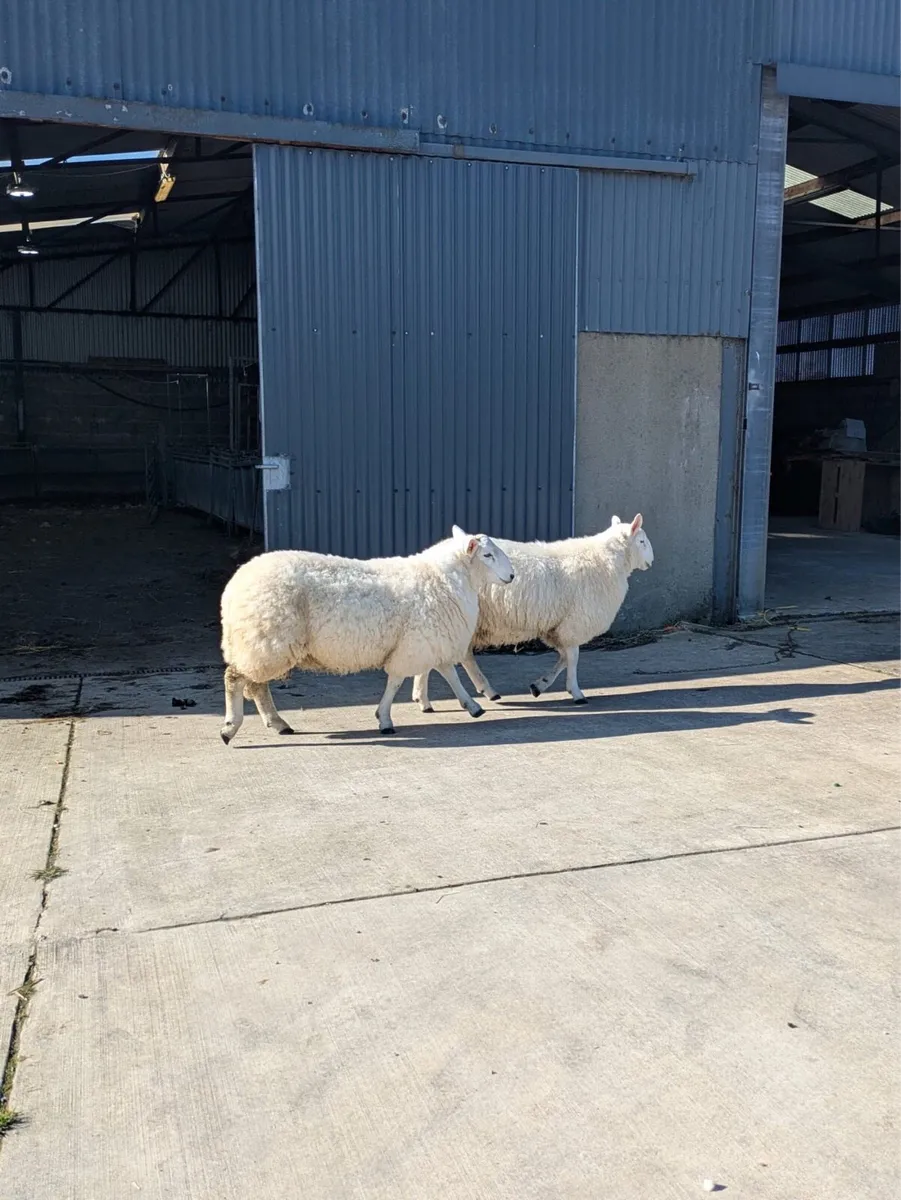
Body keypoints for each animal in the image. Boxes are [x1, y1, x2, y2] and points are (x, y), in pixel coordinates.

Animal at [219, 525, 514, 742]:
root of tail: (233, 588)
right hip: (266, 640)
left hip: (261, 644)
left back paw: (278, 723)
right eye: (487, 555)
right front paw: (384, 719)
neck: (444, 579)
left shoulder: (429, 640)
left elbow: (449, 674)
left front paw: (472, 706)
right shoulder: (416, 644)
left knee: (257, 686)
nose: (511, 576)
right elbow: (397, 682)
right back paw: (230, 728)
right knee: (235, 679)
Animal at [412, 514, 653, 711]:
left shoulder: (557, 626)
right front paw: (576, 692)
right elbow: (573, 657)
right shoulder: (574, 622)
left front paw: (539, 685)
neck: (606, 560)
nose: (651, 561)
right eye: (641, 541)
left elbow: (564, 657)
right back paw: (437, 697)